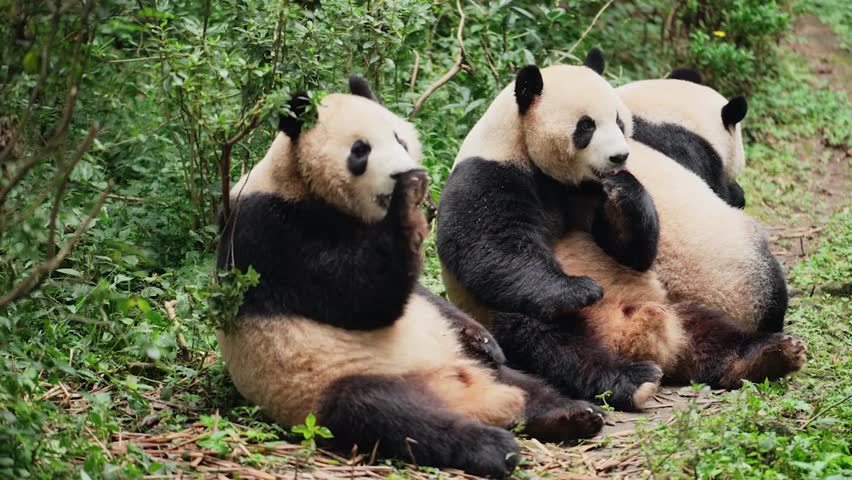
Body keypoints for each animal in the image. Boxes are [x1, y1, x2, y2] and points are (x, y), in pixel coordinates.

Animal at [216, 77, 608, 478]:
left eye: (400, 139)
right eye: (361, 150)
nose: (406, 173)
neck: (297, 183)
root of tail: (468, 396)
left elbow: (422, 296)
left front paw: (482, 338)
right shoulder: (270, 234)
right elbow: (360, 298)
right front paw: (406, 212)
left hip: (473, 364)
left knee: (525, 384)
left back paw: (571, 414)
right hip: (328, 382)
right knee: (392, 416)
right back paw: (493, 447)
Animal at [440, 55, 804, 408]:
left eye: (618, 122)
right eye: (586, 126)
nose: (619, 157)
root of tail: (634, 335)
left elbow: (630, 248)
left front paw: (624, 191)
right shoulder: (492, 173)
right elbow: (489, 247)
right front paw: (580, 289)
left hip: (677, 305)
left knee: (710, 332)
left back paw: (768, 355)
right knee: (546, 338)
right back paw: (630, 380)